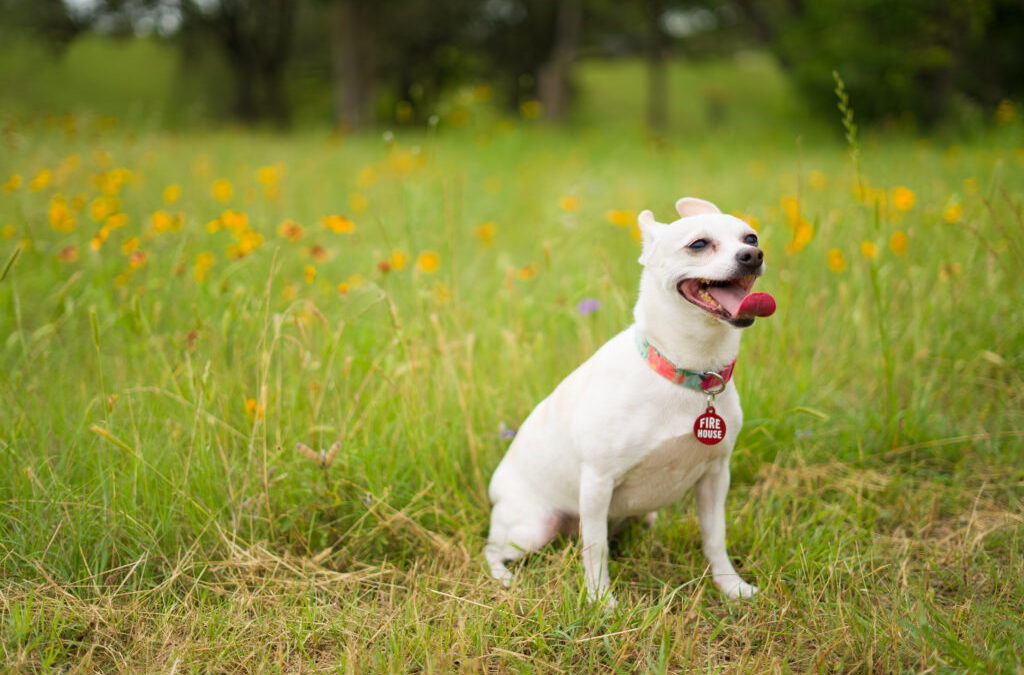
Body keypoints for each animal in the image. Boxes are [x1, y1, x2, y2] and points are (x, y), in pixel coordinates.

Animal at [483, 195, 770, 606]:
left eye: (751, 237)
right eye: (698, 244)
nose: (753, 255)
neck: (688, 373)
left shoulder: (716, 478)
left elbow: (715, 537)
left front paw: (730, 586)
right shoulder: (597, 483)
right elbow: (596, 548)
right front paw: (601, 601)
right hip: (532, 528)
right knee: (493, 549)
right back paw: (504, 578)